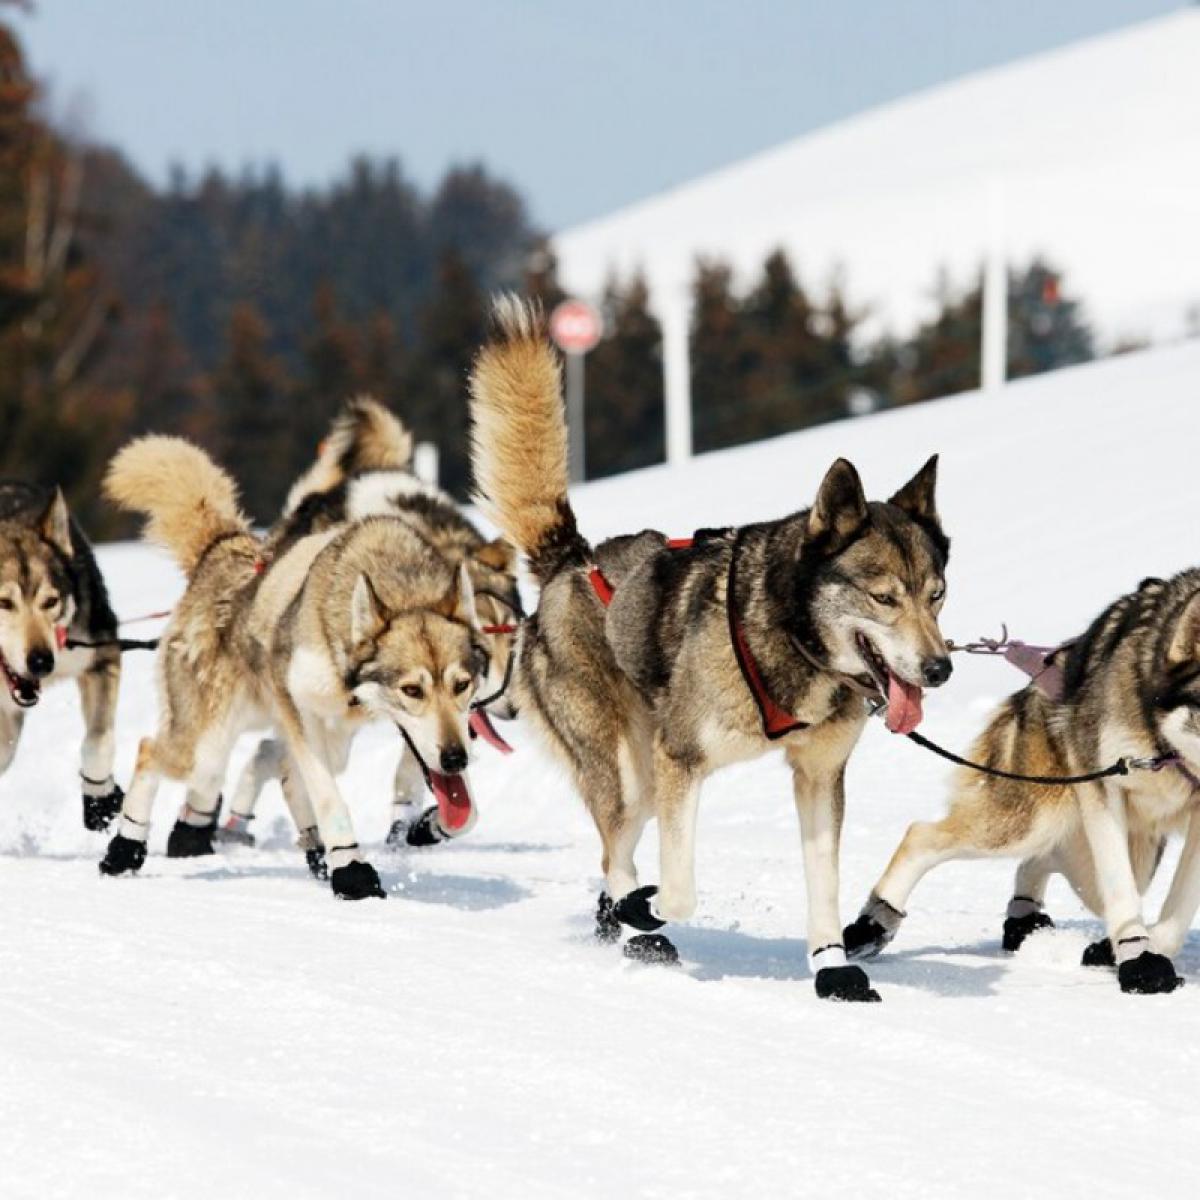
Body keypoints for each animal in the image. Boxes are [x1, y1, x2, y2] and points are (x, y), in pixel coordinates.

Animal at [0, 482, 125, 830]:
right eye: (4, 602)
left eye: (51, 601)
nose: (42, 662)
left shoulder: (101, 657)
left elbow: (97, 743)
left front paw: (100, 800)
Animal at [96, 436, 484, 897]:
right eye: (412, 690)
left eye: (462, 685)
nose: (457, 758)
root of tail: (223, 547)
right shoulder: (301, 714)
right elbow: (329, 798)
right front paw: (354, 873)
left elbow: (465, 813)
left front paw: (427, 827)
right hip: (207, 746)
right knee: (151, 751)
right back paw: (124, 849)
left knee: (284, 776)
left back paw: (316, 855)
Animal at [220, 398, 520, 849]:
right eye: (485, 642)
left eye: (510, 639)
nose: (512, 706)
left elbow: (427, 776)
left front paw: (417, 820)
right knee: (275, 754)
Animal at [468, 295, 955, 998]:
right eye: (884, 597)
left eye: (937, 594)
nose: (940, 668)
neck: (787, 638)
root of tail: (572, 561)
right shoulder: (683, 761)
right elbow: (679, 891)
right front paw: (648, 907)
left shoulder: (819, 776)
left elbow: (824, 884)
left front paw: (832, 965)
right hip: (631, 773)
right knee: (618, 852)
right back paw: (633, 919)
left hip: (644, 774)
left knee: (614, 853)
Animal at [849, 571, 1200, 993]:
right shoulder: (1104, 788)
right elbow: (1122, 892)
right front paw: (1139, 958)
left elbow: (1180, 906)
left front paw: (1150, 949)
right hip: (1033, 819)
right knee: (921, 835)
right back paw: (875, 921)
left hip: (1123, 852)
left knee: (1043, 860)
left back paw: (1028, 919)